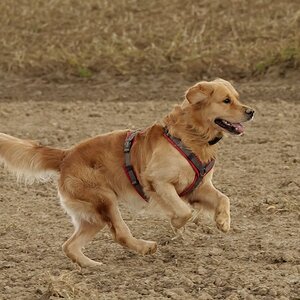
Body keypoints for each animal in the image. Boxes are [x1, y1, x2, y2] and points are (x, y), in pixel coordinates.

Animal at [0, 78, 253, 268]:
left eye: (237, 97)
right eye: (226, 100)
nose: (251, 111)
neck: (192, 135)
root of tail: (66, 155)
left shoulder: (199, 187)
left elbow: (223, 198)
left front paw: (223, 221)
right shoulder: (158, 181)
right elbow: (184, 211)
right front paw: (177, 224)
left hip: (92, 215)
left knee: (69, 246)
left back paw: (93, 266)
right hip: (105, 199)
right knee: (119, 234)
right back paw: (145, 247)